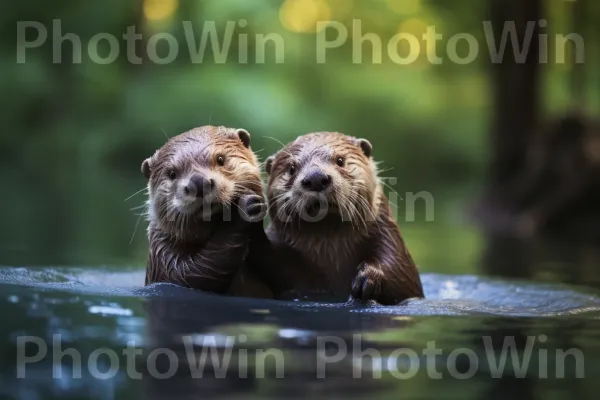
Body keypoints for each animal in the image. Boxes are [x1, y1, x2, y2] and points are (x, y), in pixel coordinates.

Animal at [143, 126, 264, 294]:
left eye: (220, 159)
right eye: (172, 174)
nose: (199, 182)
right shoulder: (162, 259)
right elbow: (193, 274)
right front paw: (247, 206)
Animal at [247, 131, 422, 304]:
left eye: (340, 160)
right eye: (291, 168)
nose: (316, 177)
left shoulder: (389, 236)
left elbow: (397, 269)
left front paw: (368, 278)